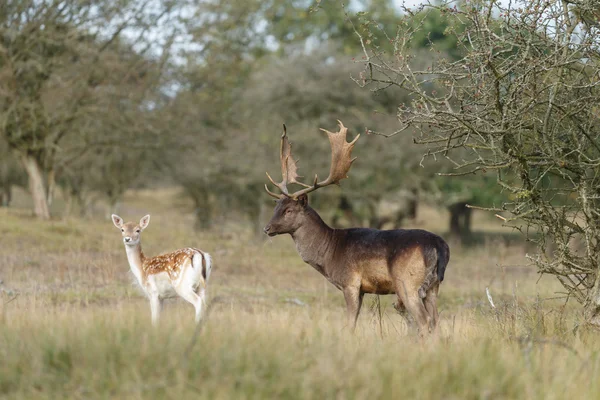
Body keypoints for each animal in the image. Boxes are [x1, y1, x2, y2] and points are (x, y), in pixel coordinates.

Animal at [264, 122, 450, 334]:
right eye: (276, 206)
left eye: (289, 210)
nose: (267, 228)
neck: (329, 253)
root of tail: (439, 245)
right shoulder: (362, 289)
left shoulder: (350, 283)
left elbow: (350, 323)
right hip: (433, 286)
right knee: (436, 320)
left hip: (408, 283)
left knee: (424, 320)